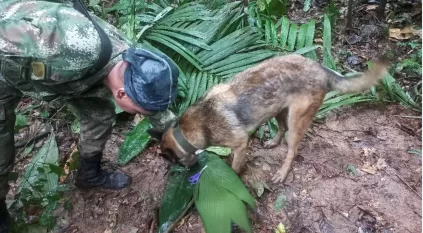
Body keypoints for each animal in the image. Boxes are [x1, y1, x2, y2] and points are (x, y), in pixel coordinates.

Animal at [150, 53, 390, 183]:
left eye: (175, 162)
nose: (188, 171)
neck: (187, 131)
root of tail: (320, 68)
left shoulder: (240, 143)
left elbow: (235, 167)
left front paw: (233, 177)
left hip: (296, 120)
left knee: (292, 149)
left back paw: (282, 172)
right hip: (278, 110)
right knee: (281, 129)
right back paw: (273, 142)